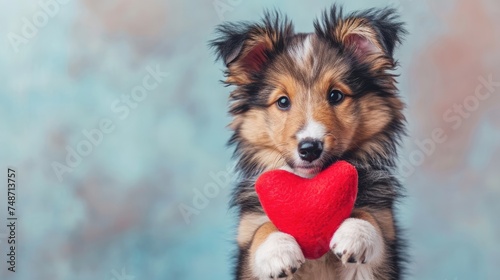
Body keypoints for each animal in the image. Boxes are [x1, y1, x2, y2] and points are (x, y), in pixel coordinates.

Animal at [210, 4, 406, 280]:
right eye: (282, 101)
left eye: (336, 95)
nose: (310, 148)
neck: (309, 181)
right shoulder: (248, 240)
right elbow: (262, 230)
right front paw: (277, 250)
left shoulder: (384, 240)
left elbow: (369, 217)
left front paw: (356, 233)